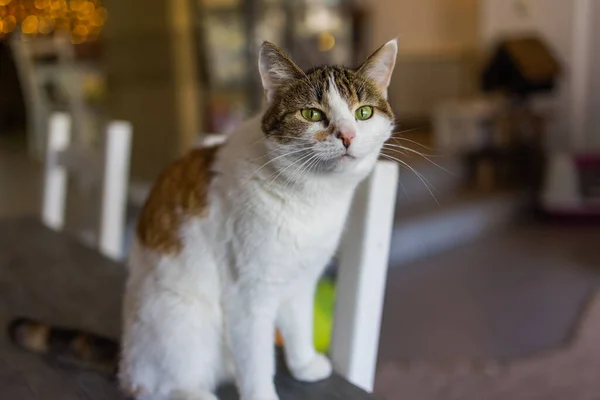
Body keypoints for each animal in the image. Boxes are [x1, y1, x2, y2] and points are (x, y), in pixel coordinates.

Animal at [8, 38, 398, 400]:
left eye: (363, 113)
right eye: (313, 115)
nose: (347, 135)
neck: (313, 199)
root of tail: (126, 359)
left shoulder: (301, 278)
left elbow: (299, 325)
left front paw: (304, 365)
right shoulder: (248, 293)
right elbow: (256, 359)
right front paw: (262, 393)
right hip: (181, 319)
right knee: (154, 387)